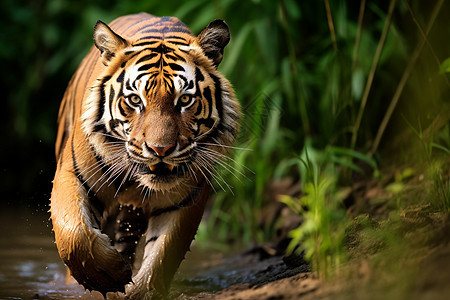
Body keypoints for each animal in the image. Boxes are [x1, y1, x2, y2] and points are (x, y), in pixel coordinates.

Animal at [49, 12, 241, 298]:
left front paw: (139, 290)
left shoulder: (186, 197)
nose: (160, 149)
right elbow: (73, 232)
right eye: (135, 100)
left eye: (185, 100)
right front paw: (104, 276)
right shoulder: (72, 172)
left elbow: (165, 251)